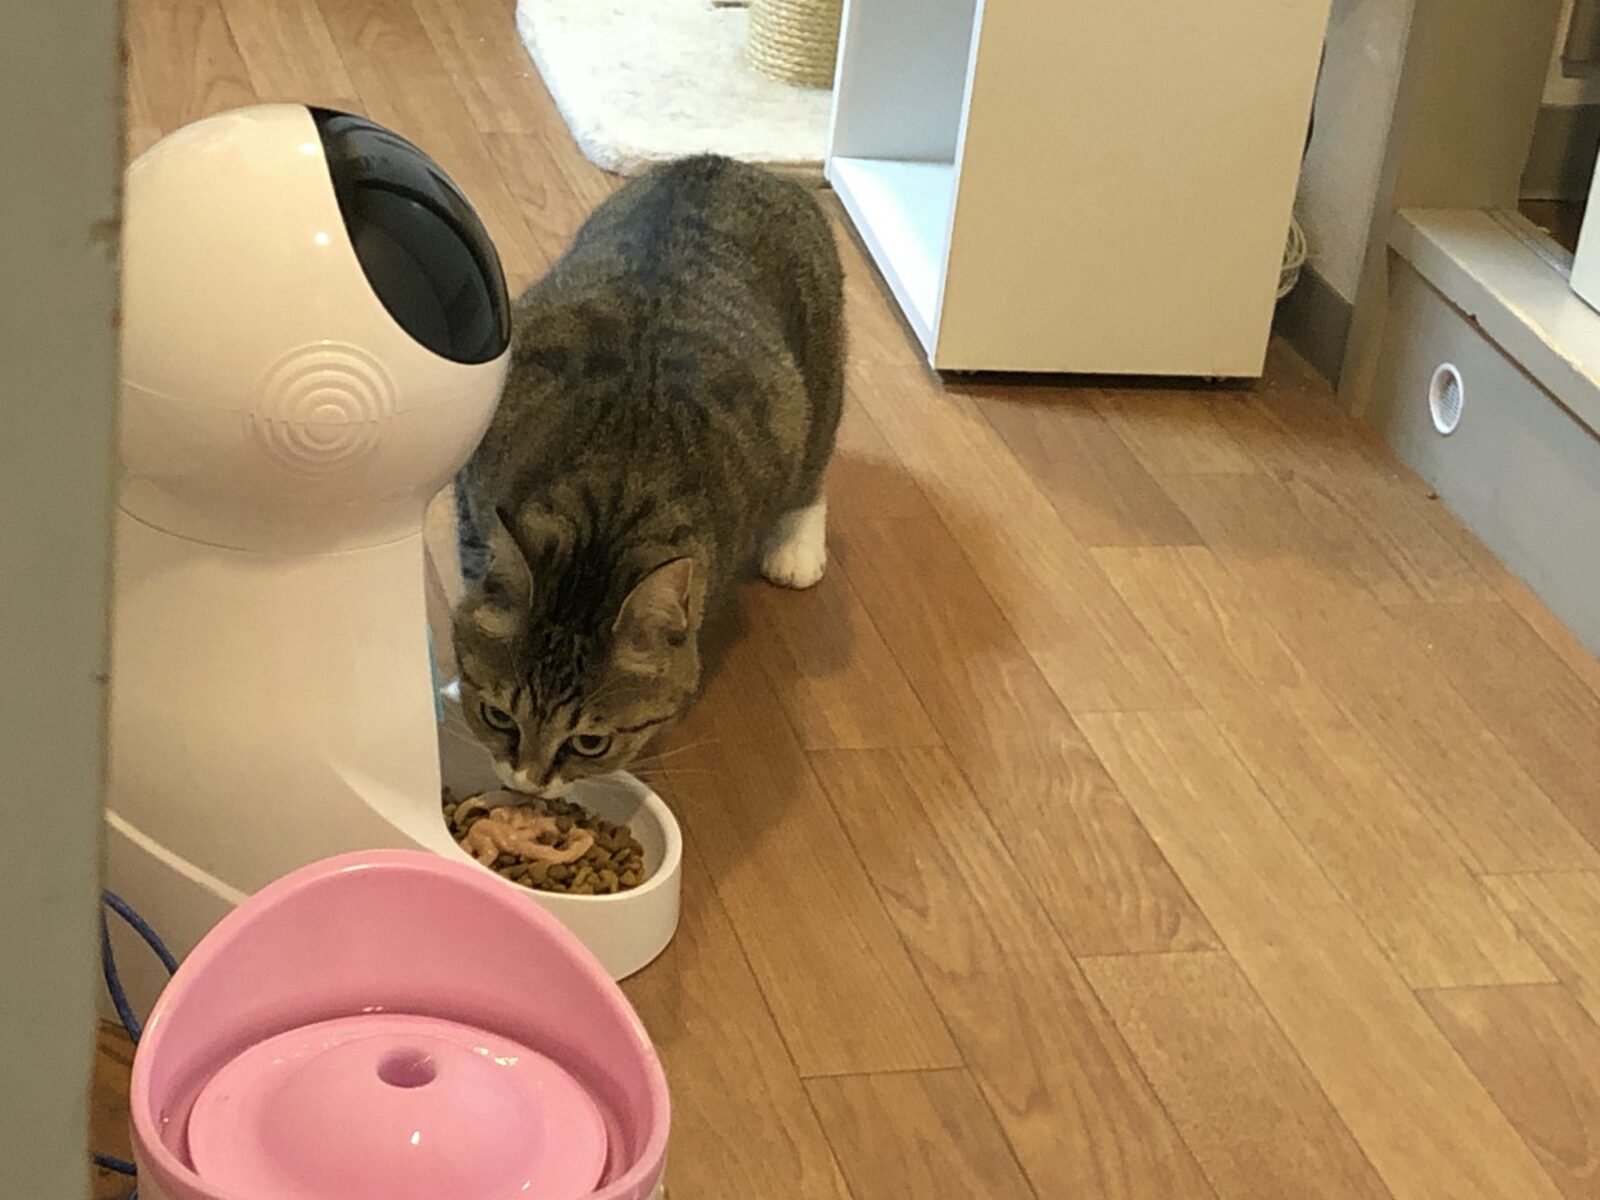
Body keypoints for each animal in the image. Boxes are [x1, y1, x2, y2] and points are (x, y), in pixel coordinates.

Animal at [450, 155, 844, 798]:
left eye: (590, 743)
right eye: (498, 716)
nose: (527, 786)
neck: (611, 502)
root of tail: (725, 162)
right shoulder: (475, 472)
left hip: (819, 374)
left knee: (814, 468)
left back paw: (795, 550)